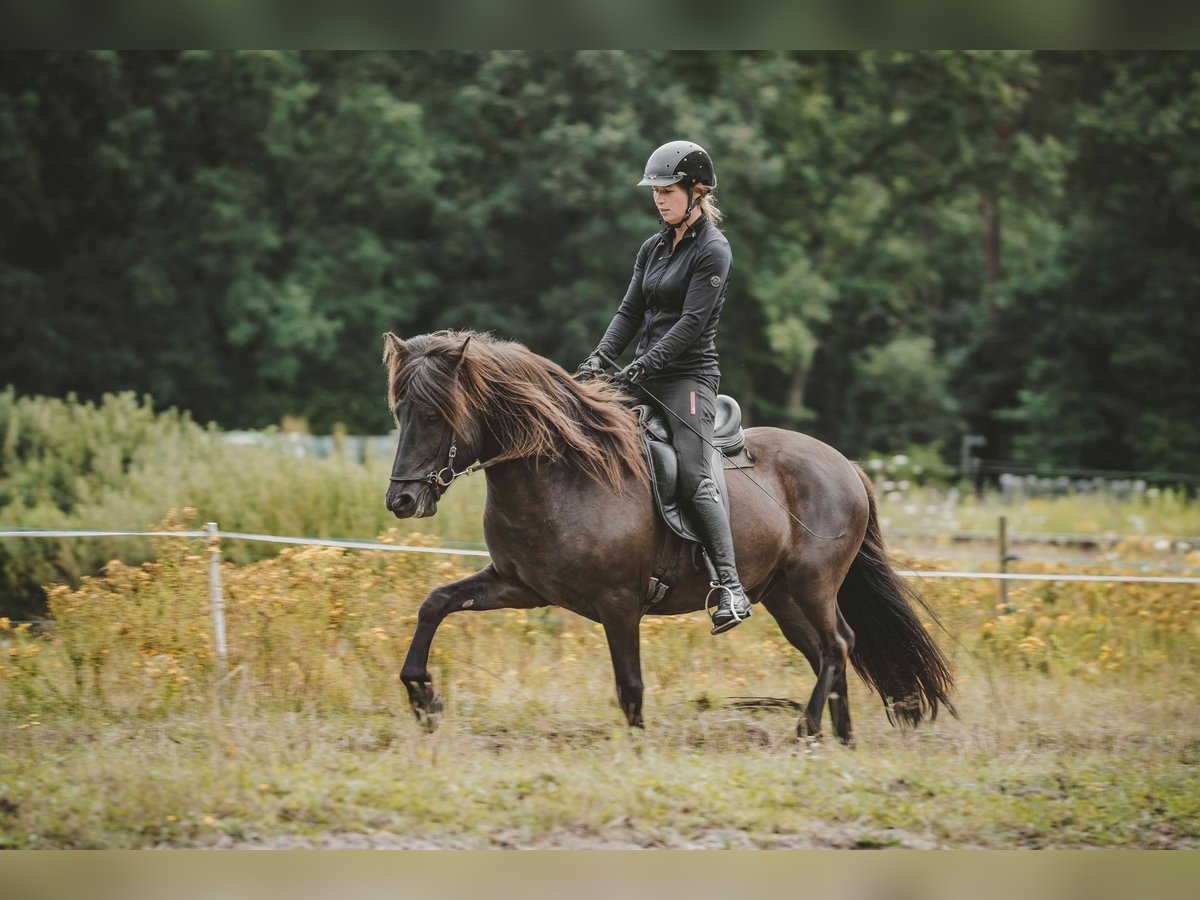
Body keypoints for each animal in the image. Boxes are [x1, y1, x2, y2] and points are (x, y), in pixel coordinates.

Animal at [384, 328, 955, 744]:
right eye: (400, 411)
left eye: (435, 415)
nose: (401, 501)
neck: (563, 472)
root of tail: (846, 466)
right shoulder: (520, 586)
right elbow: (435, 604)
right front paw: (424, 700)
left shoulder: (618, 603)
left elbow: (630, 685)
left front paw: (638, 750)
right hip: (784, 597)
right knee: (827, 654)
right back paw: (838, 739)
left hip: (813, 585)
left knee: (838, 646)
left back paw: (808, 729)